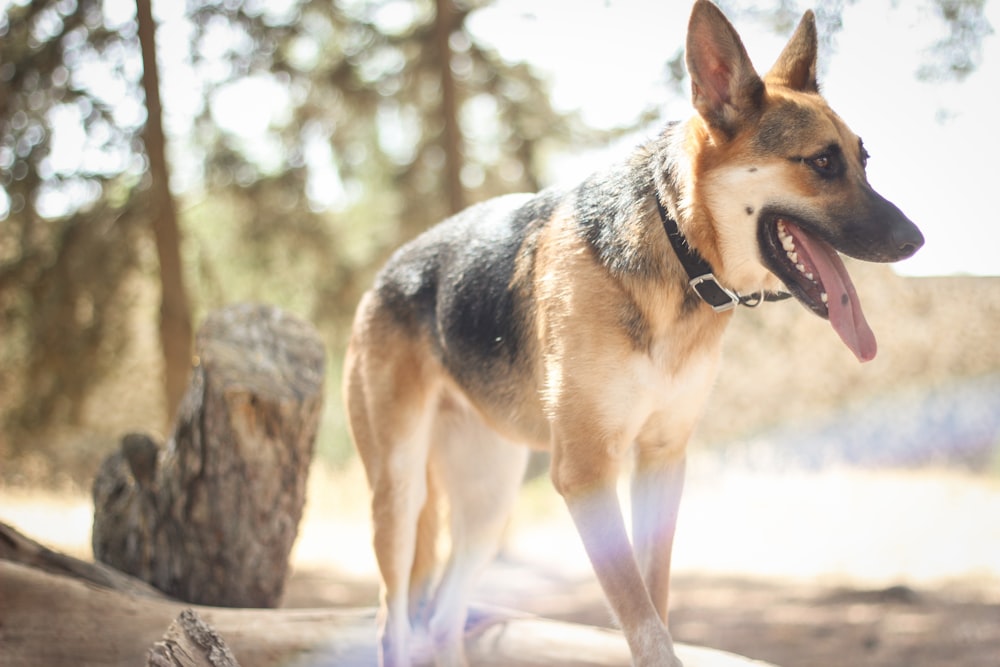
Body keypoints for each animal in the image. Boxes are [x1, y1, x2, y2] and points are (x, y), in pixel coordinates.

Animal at [344, 2, 920, 664]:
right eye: (822, 162)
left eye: (862, 161)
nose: (917, 240)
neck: (679, 249)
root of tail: (385, 272)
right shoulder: (587, 471)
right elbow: (641, 619)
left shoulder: (662, 459)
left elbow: (656, 597)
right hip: (400, 492)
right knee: (392, 620)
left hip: (488, 503)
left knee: (442, 618)